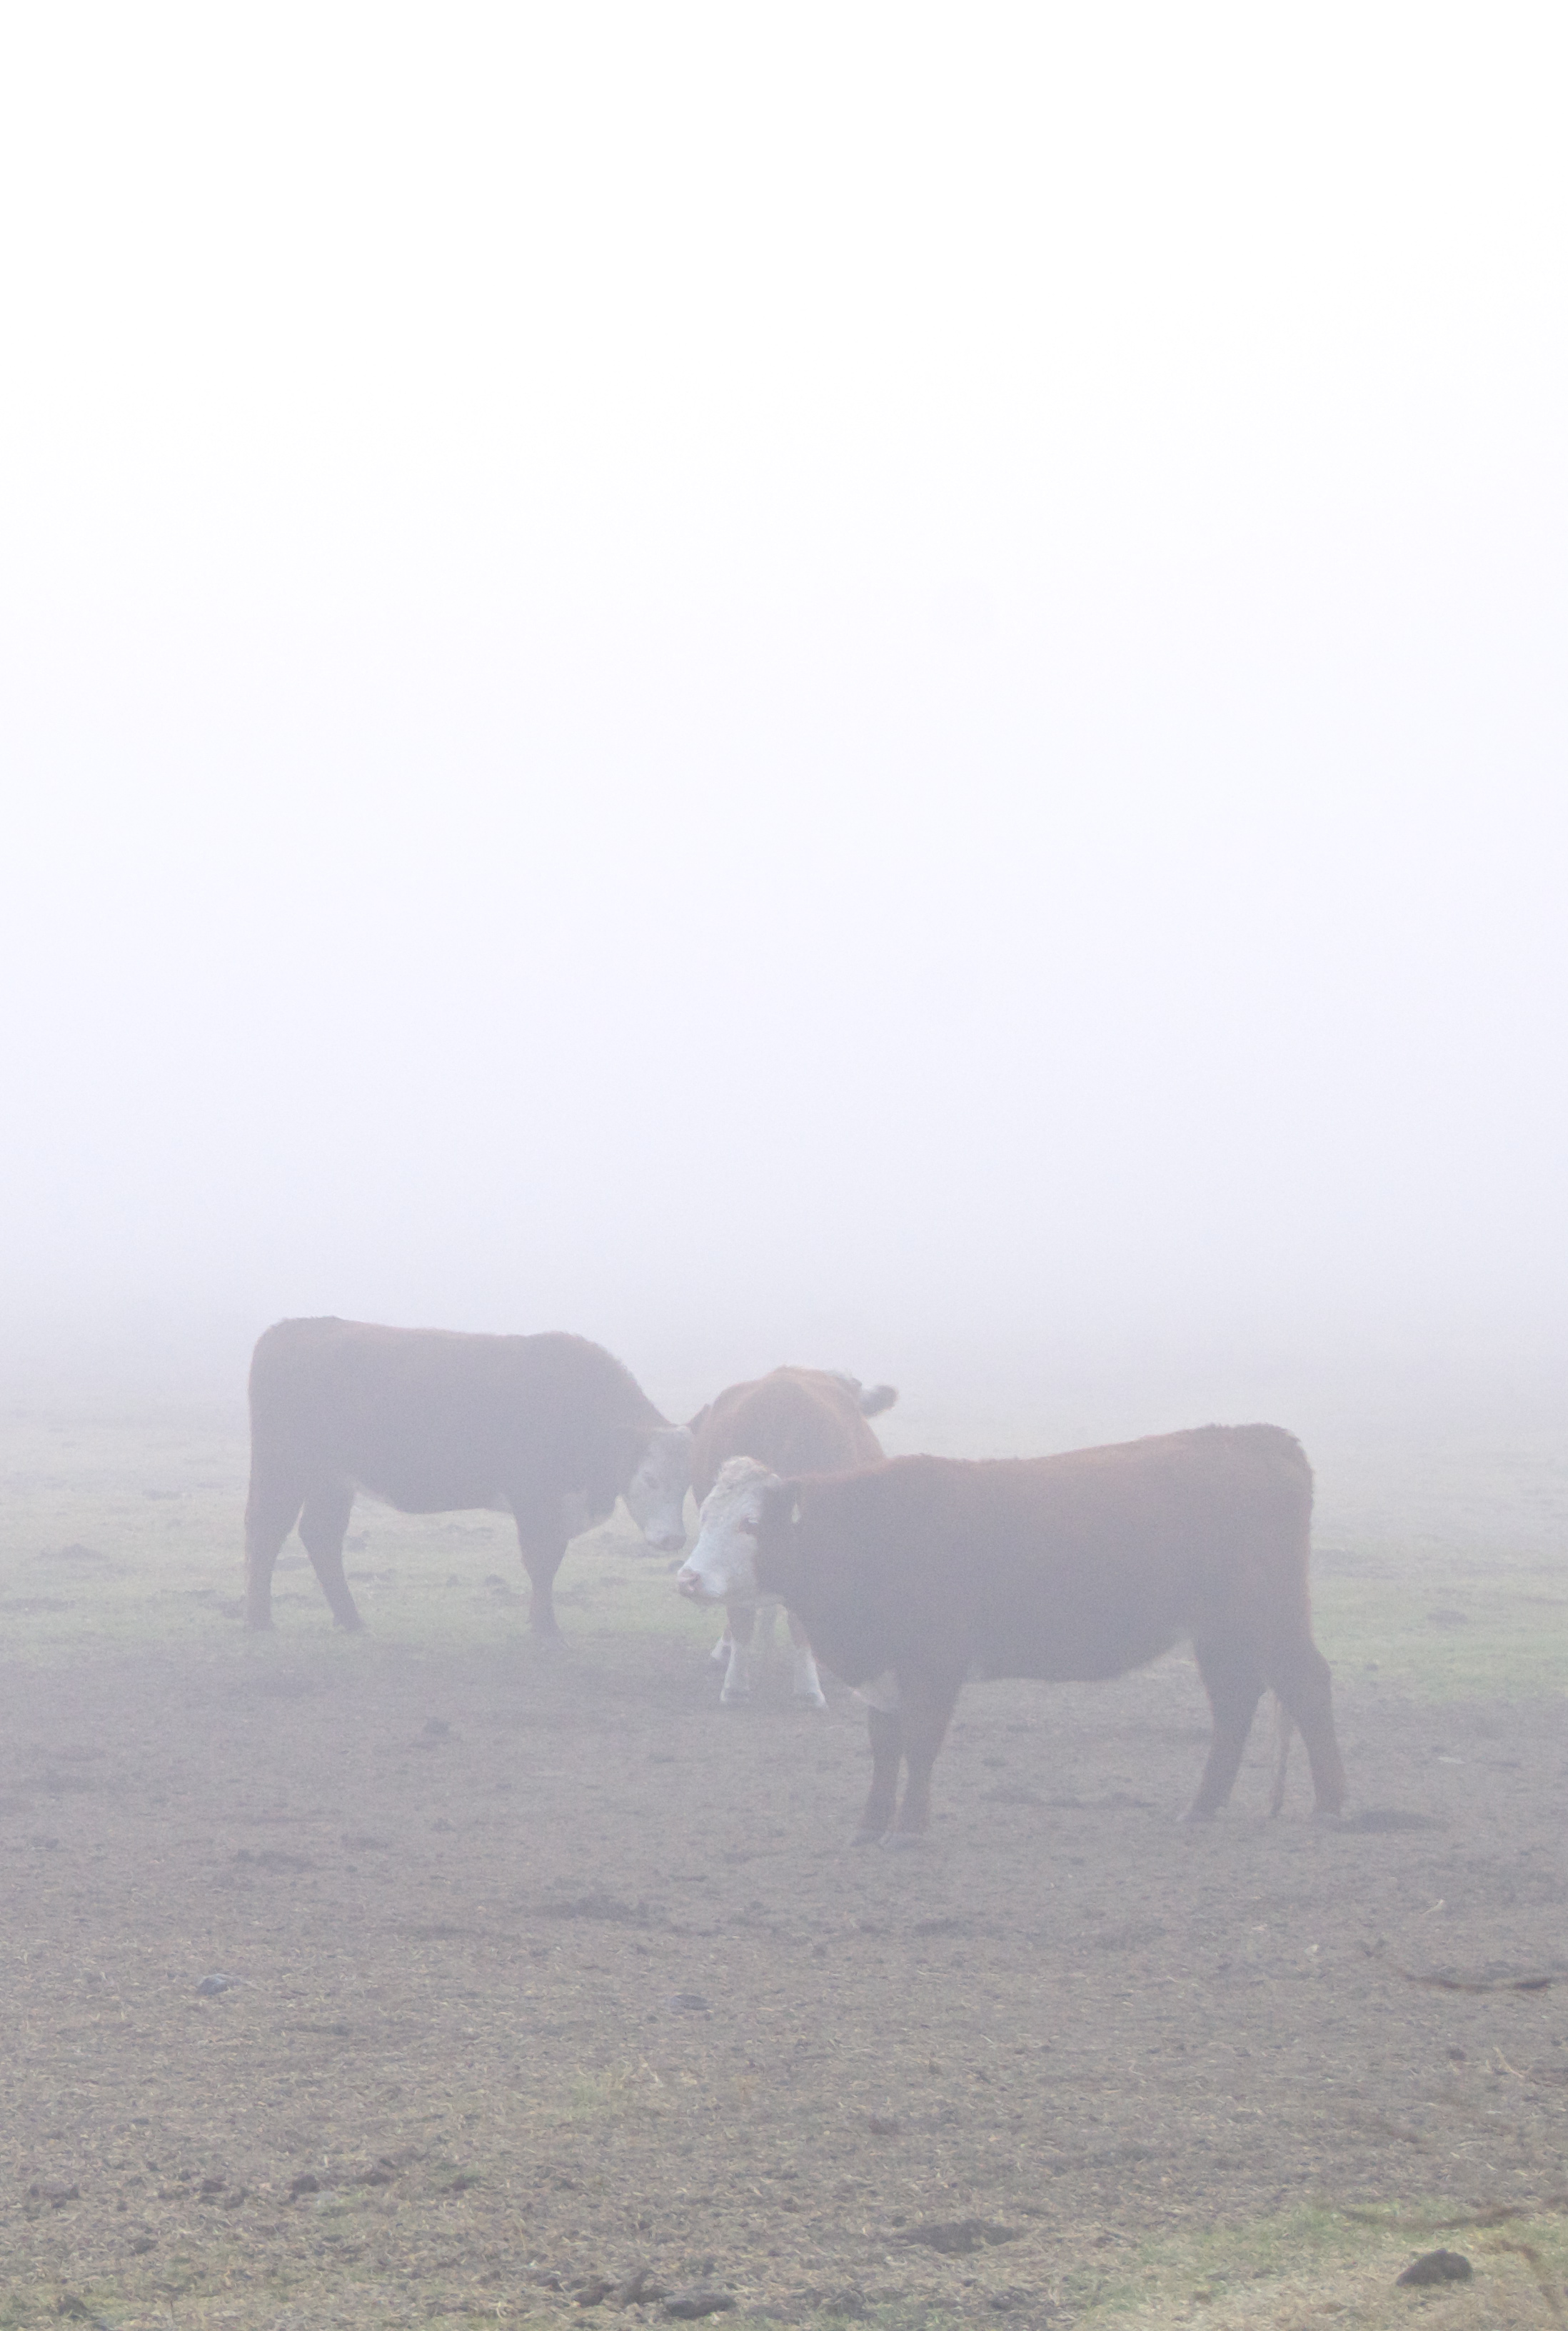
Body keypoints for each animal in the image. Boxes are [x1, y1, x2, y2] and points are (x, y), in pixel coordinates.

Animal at [245, 1317, 691, 1636]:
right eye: (650, 1478)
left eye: (687, 1484)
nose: (673, 1540)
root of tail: (292, 1328)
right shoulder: (533, 1499)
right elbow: (541, 1561)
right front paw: (545, 1627)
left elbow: (551, 1560)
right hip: (284, 1471)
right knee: (266, 1532)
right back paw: (260, 1620)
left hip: (333, 1481)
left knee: (321, 1536)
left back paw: (350, 1620)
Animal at [676, 1424, 1346, 1843]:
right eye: (704, 1514)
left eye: (751, 1523)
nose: (688, 1577)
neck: (873, 1531)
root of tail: (1257, 1438)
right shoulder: (887, 1671)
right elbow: (885, 1747)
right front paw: (870, 1824)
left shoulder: (934, 1666)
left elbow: (920, 1745)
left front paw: (908, 1829)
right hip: (1221, 1634)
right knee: (1234, 1706)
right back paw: (1201, 1808)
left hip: (1272, 1617)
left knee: (1309, 1687)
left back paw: (1331, 1808)